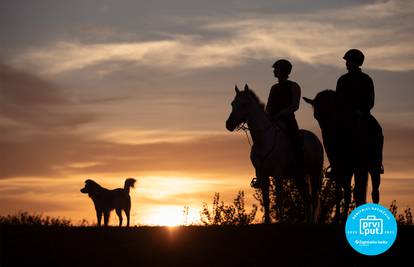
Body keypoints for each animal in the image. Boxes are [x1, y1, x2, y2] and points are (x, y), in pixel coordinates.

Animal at [226, 85, 324, 223]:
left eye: (244, 105)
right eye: (233, 104)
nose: (228, 124)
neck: (264, 140)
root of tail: (316, 139)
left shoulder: (278, 173)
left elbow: (279, 199)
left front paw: (281, 221)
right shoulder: (262, 174)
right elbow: (266, 200)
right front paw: (267, 222)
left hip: (314, 173)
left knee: (314, 200)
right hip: (299, 176)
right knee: (307, 199)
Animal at [302, 91, 384, 223]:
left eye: (332, 114)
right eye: (316, 116)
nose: (328, 138)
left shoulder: (350, 167)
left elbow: (349, 193)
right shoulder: (340, 167)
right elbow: (342, 193)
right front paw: (338, 219)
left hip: (371, 167)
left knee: (373, 193)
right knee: (357, 192)